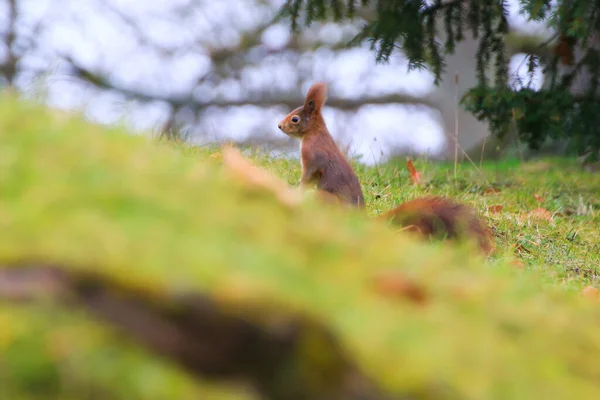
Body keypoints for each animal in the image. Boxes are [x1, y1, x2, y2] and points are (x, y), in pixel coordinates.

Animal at [278, 82, 494, 255]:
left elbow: (307, 178)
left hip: (326, 199)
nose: (279, 126)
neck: (314, 133)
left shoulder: (312, 158)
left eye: (295, 119)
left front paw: (296, 192)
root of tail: (360, 222)